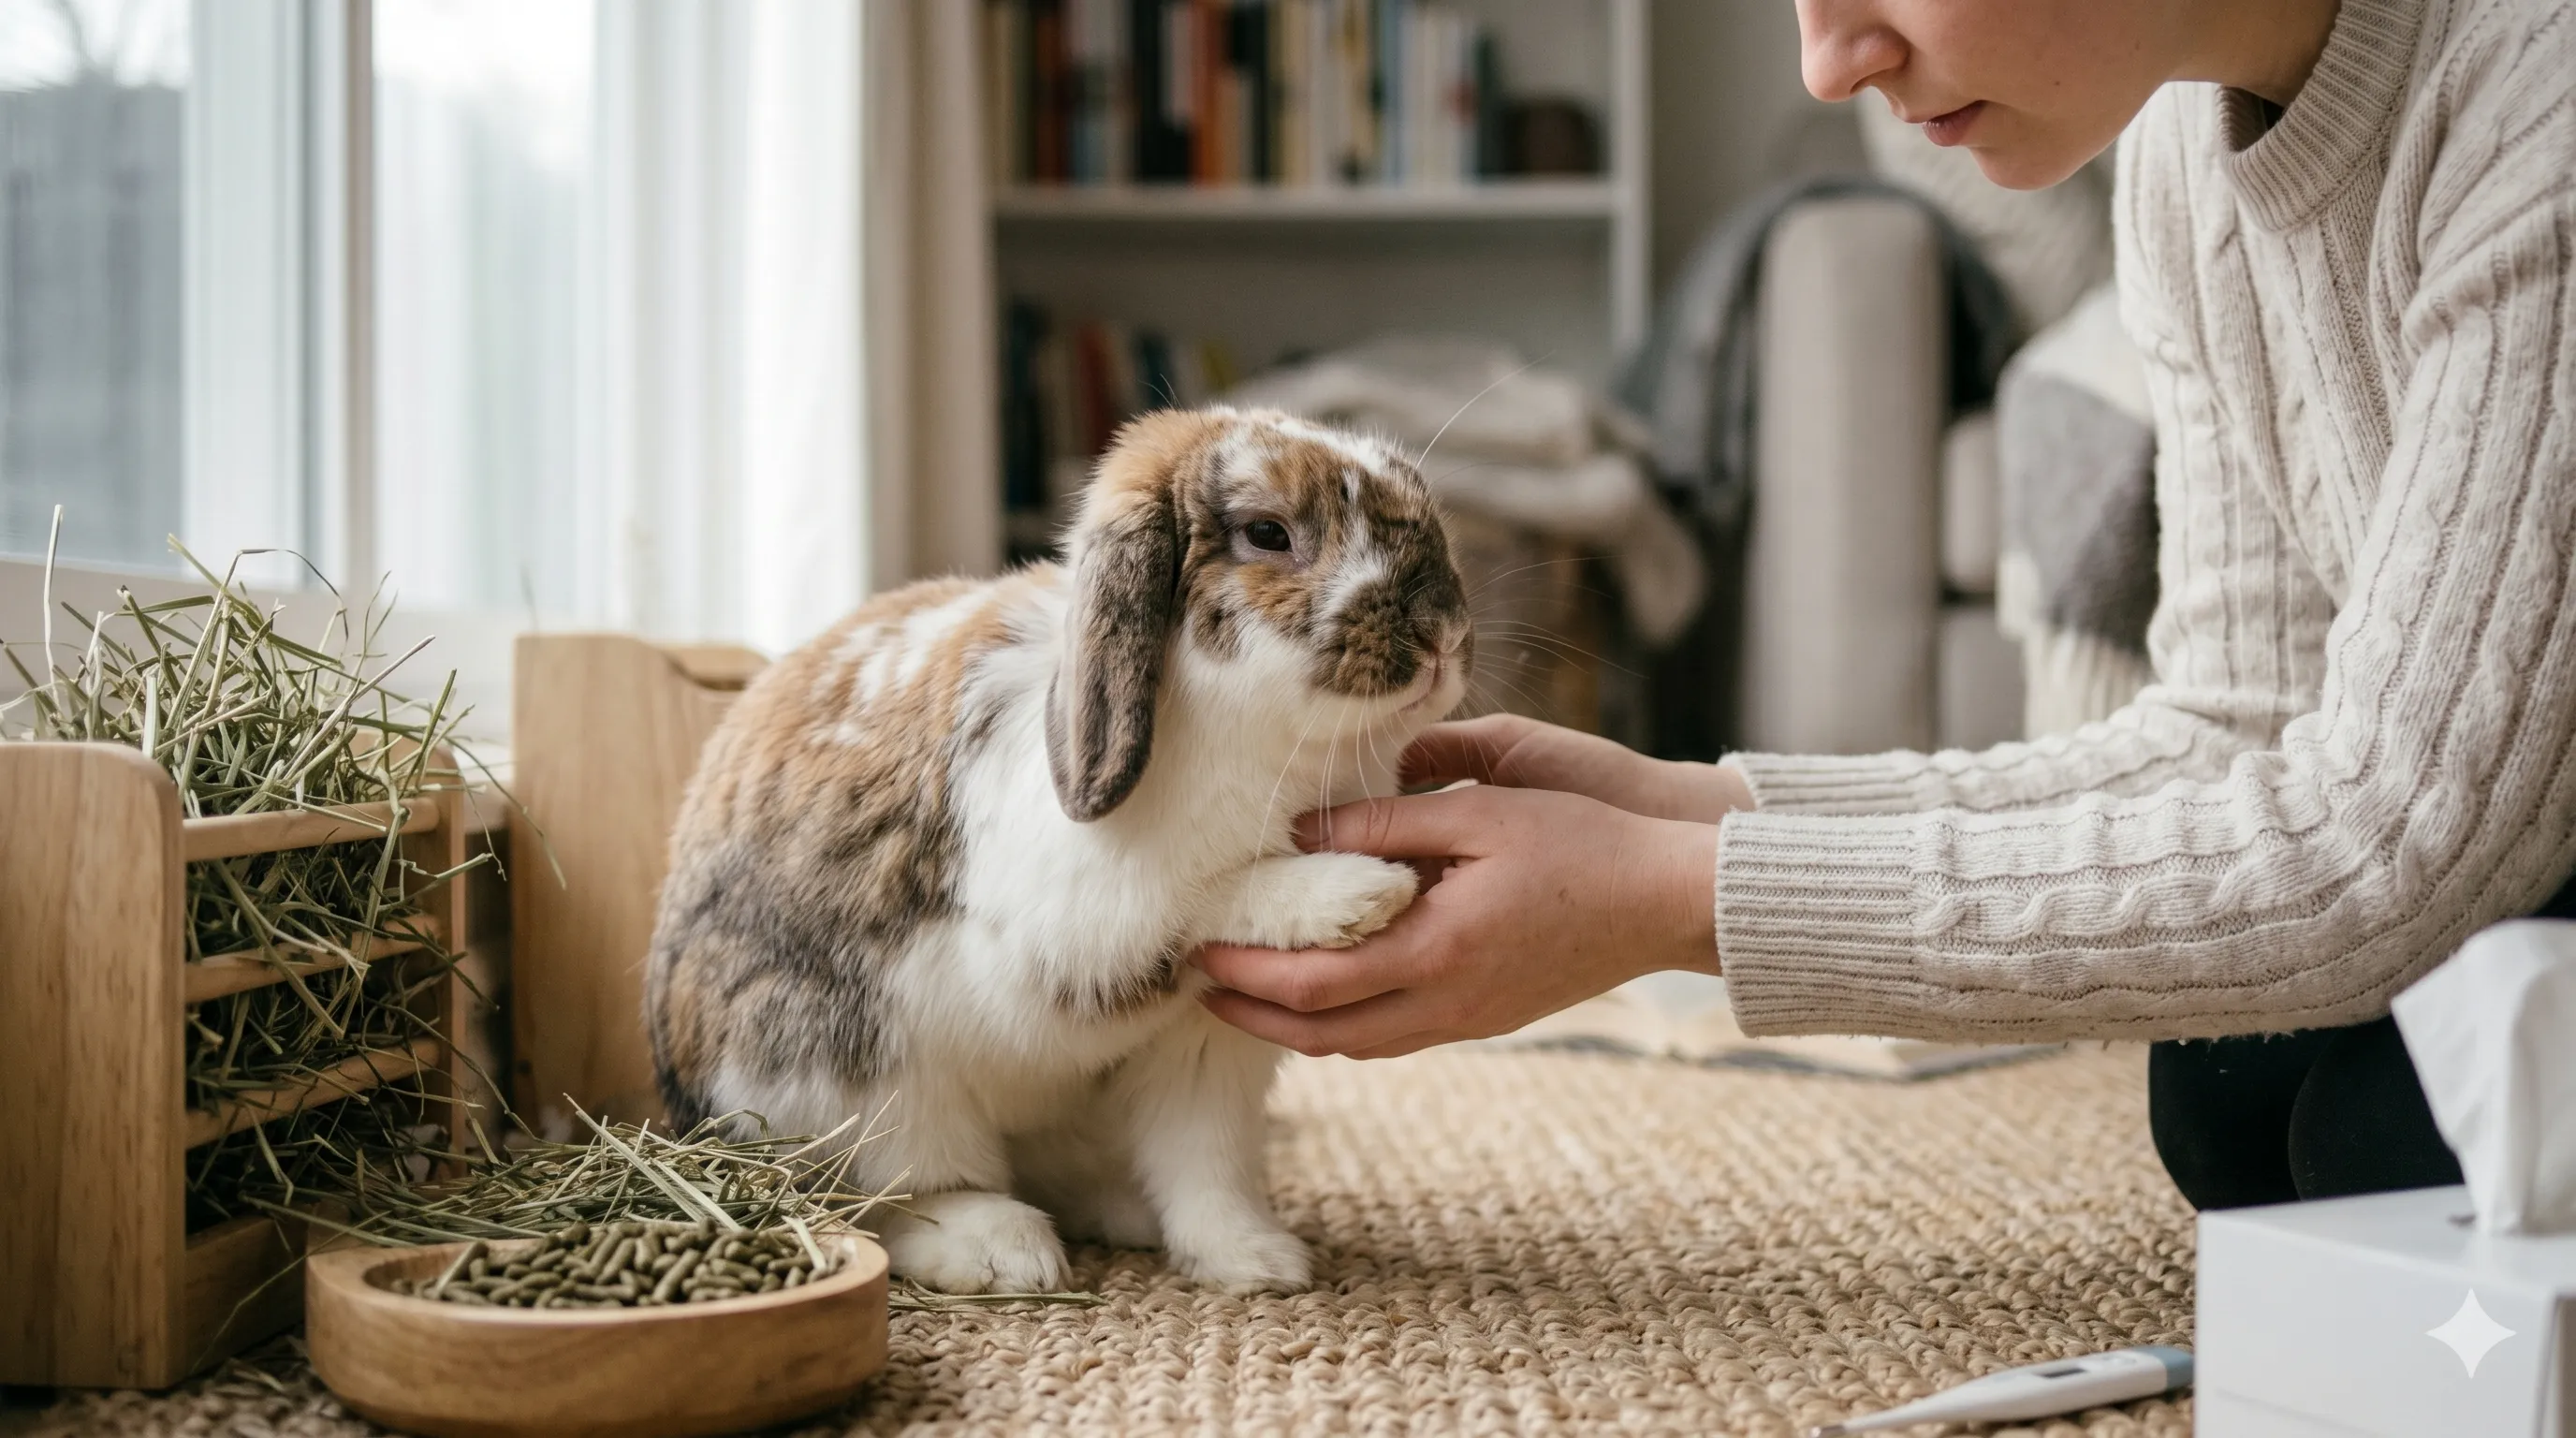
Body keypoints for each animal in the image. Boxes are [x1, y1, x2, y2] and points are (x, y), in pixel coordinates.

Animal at [644, 406, 1473, 1295]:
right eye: (1267, 533)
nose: (1442, 631)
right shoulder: (1090, 920)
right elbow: (1215, 890)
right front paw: (1359, 894)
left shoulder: (1204, 1047)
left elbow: (1207, 1170)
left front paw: (1256, 1262)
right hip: (854, 1081)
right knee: (897, 1198)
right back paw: (1006, 1251)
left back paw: (1123, 1214)